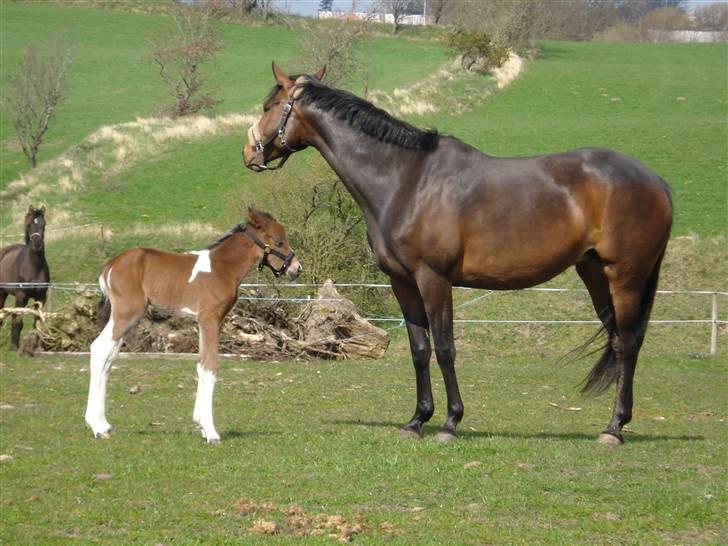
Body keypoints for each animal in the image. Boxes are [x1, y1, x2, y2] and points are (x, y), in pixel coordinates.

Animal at [0, 204, 49, 348]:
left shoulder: (41, 297)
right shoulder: (21, 296)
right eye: (29, 224)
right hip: (2, 293)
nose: (37, 244)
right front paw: (14, 346)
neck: (33, 267)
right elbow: (17, 321)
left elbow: (37, 322)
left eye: (44, 224)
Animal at [86, 207, 302, 442]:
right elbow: (210, 365)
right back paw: (96, 426)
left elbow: (201, 363)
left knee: (109, 356)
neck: (222, 268)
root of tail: (109, 265)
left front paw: (201, 425)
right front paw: (210, 431)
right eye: (279, 241)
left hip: (127, 318)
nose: (296, 269)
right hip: (126, 313)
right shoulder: (210, 319)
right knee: (99, 349)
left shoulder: (204, 322)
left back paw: (104, 424)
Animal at [242, 62, 672, 442]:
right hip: (594, 273)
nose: (249, 153)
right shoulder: (403, 282)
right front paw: (417, 420)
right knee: (617, 339)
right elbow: (419, 349)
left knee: (629, 343)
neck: (407, 180)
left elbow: (446, 348)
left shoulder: (434, 279)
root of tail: (656, 180)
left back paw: (614, 428)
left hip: (625, 277)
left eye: (268, 106)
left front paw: (450, 422)